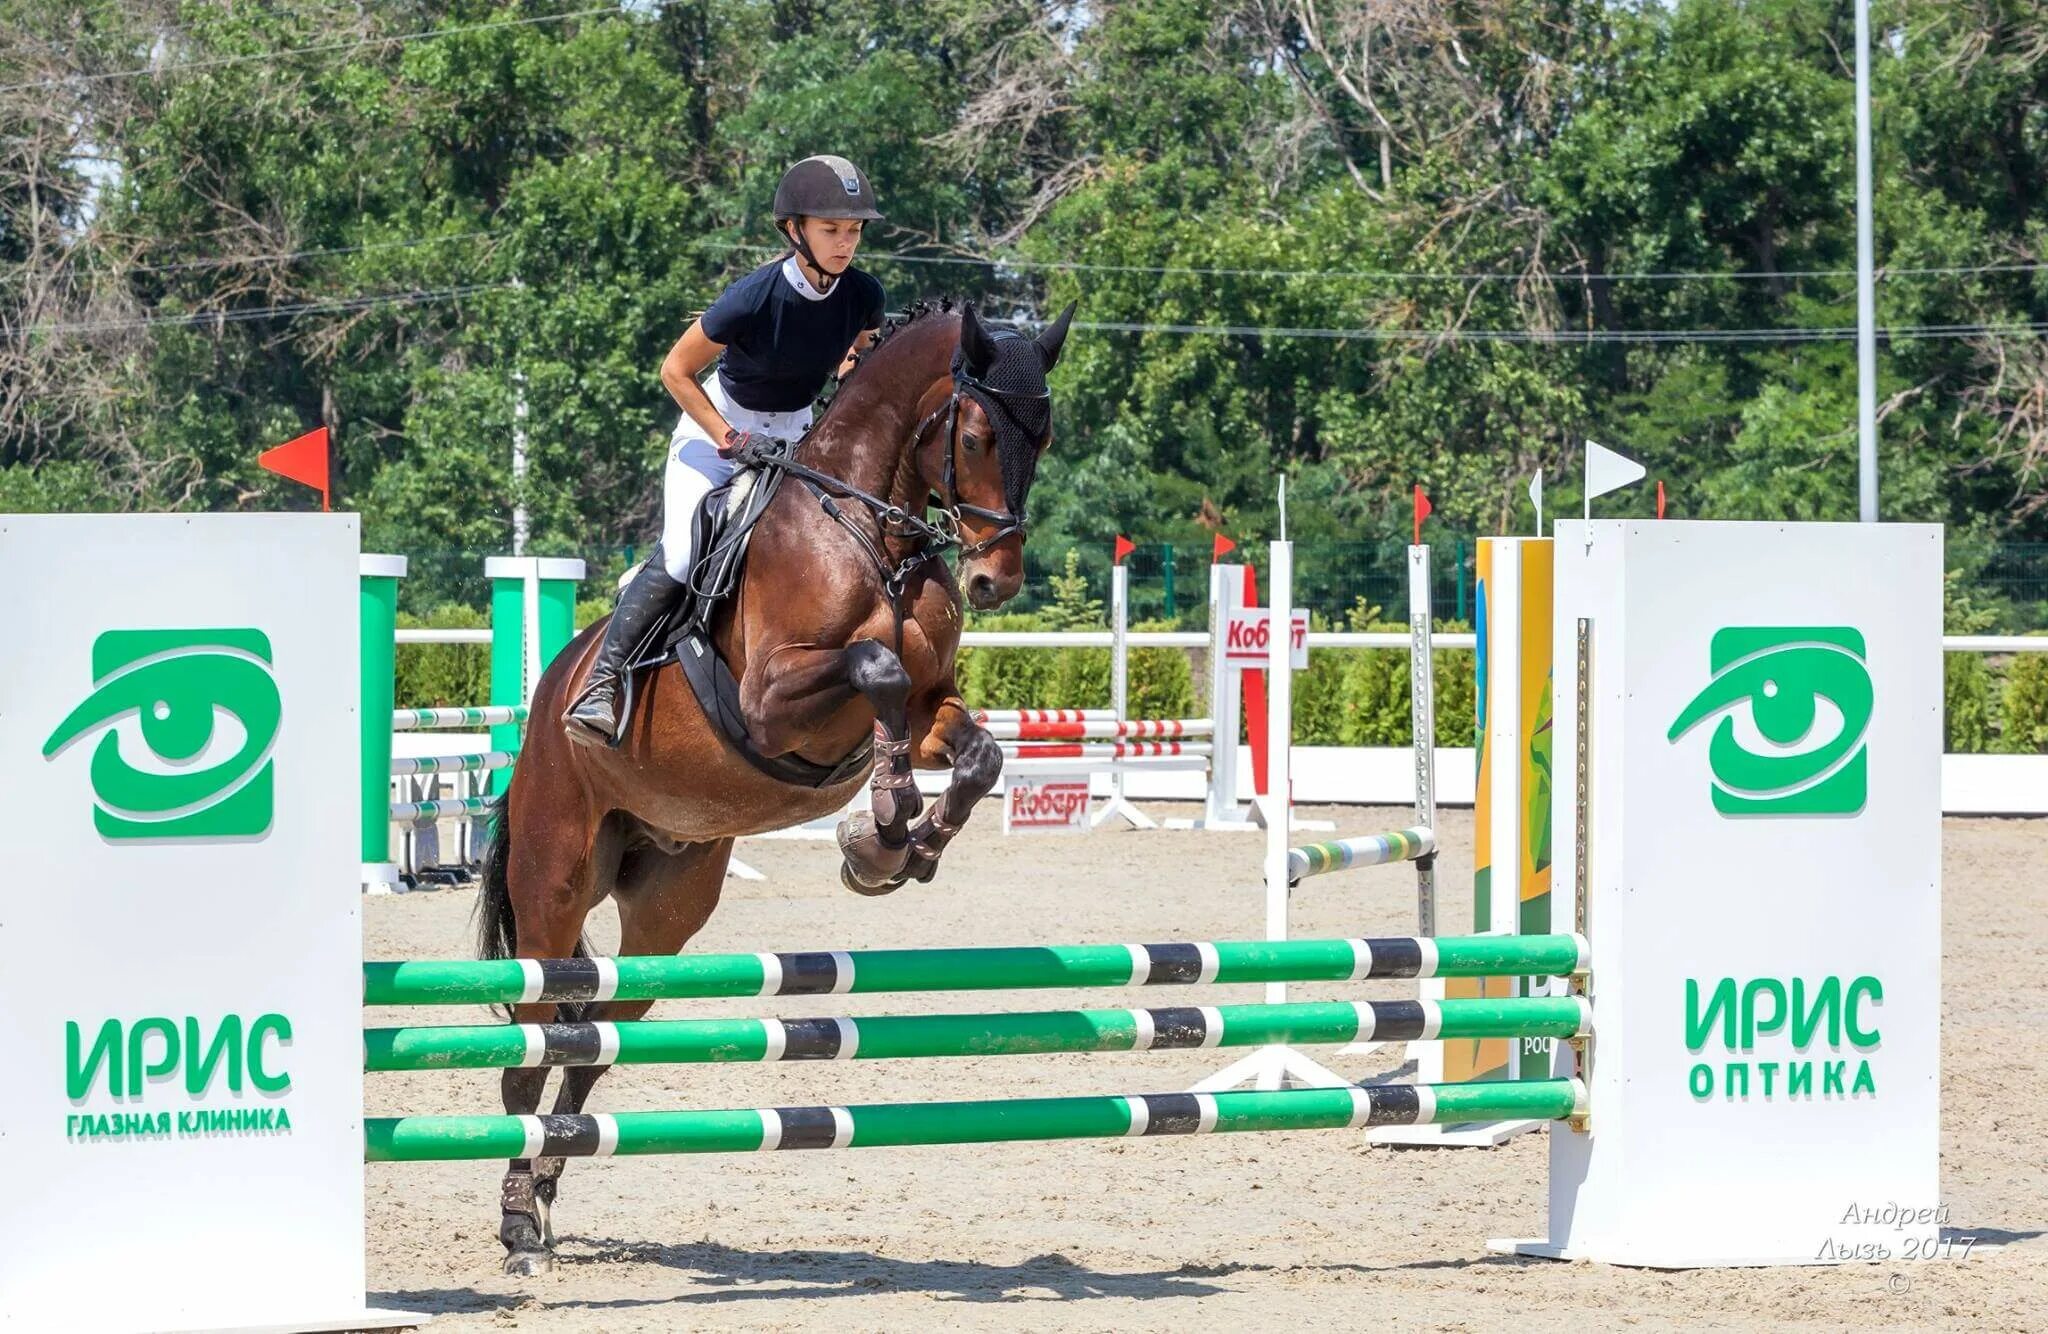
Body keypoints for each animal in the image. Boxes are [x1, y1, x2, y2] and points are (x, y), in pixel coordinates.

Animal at [473, 297, 1081, 1278]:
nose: (996, 578)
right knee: (534, 1043)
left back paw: (548, 1196)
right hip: (554, 884)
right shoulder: (770, 702)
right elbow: (872, 666)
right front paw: (885, 822)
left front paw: (890, 851)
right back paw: (520, 1229)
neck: (875, 534)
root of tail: (545, 711)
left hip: (666, 911)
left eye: (1046, 436)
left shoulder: (929, 707)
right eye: (978, 434)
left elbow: (976, 754)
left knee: (594, 1038)